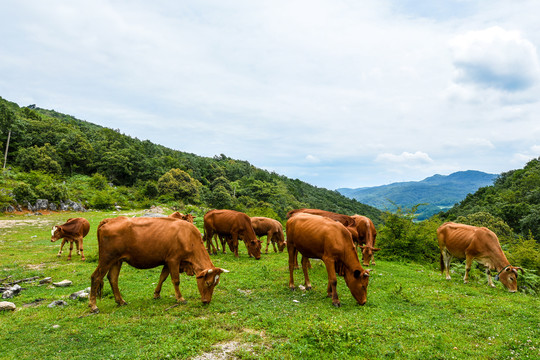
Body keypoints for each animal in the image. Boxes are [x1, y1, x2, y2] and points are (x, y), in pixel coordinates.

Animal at [87, 215, 227, 314]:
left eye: (216, 284)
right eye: (208, 283)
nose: (206, 301)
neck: (188, 237)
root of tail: (109, 220)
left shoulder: (167, 261)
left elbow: (162, 277)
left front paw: (156, 294)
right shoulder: (174, 260)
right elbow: (176, 280)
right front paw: (180, 299)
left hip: (117, 260)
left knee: (113, 278)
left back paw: (120, 301)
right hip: (106, 258)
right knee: (96, 277)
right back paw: (93, 306)